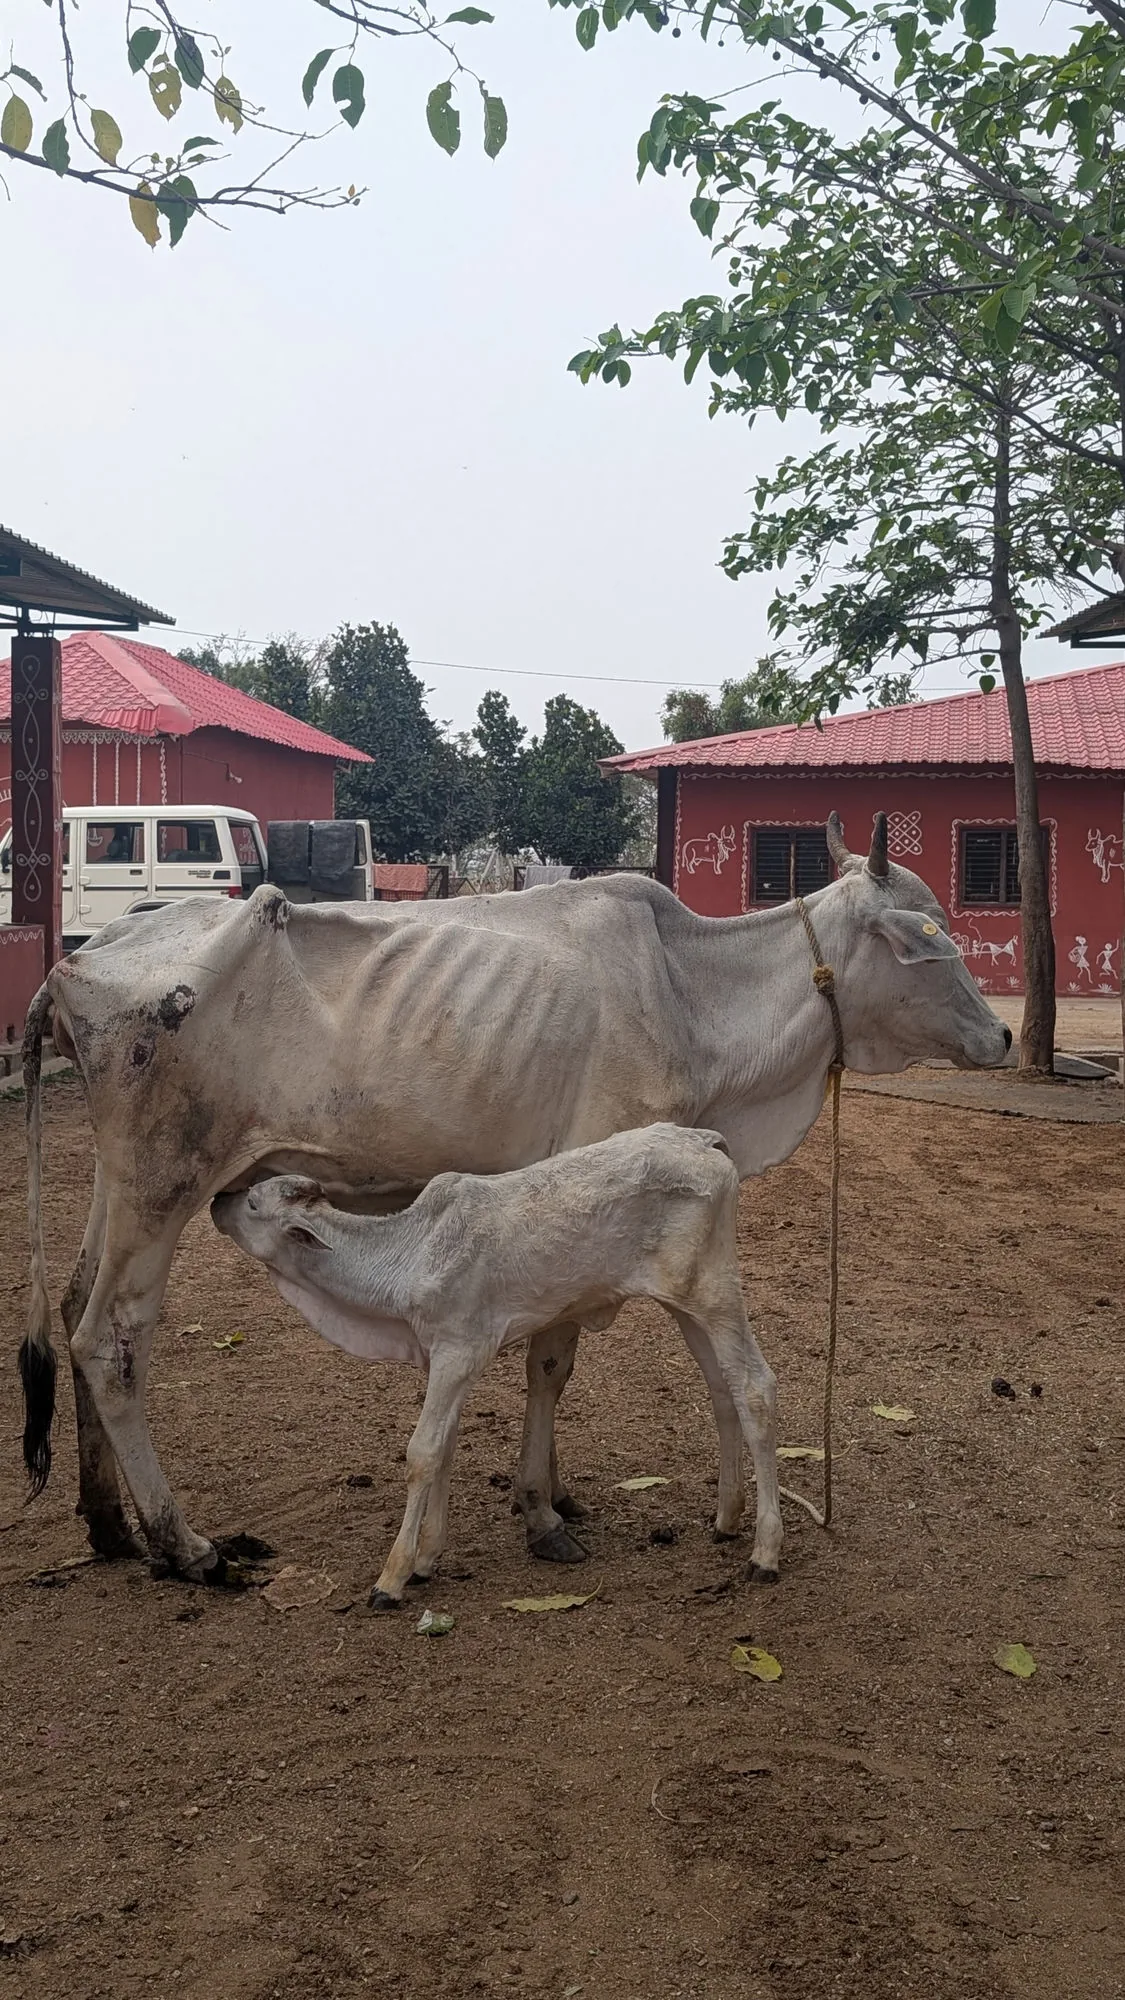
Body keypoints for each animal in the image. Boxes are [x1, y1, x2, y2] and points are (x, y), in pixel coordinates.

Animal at [212, 1126, 783, 1603]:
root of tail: (702, 1140)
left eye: (254, 1202)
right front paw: (426, 1559)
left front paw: (392, 1578)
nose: (219, 1199)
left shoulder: (458, 1352)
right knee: (722, 1388)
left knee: (754, 1388)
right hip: (686, 1306)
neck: (412, 1252)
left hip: (715, 1296)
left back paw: (765, 1553)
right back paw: (727, 1519)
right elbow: (445, 1445)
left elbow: (422, 1452)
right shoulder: (442, 1360)